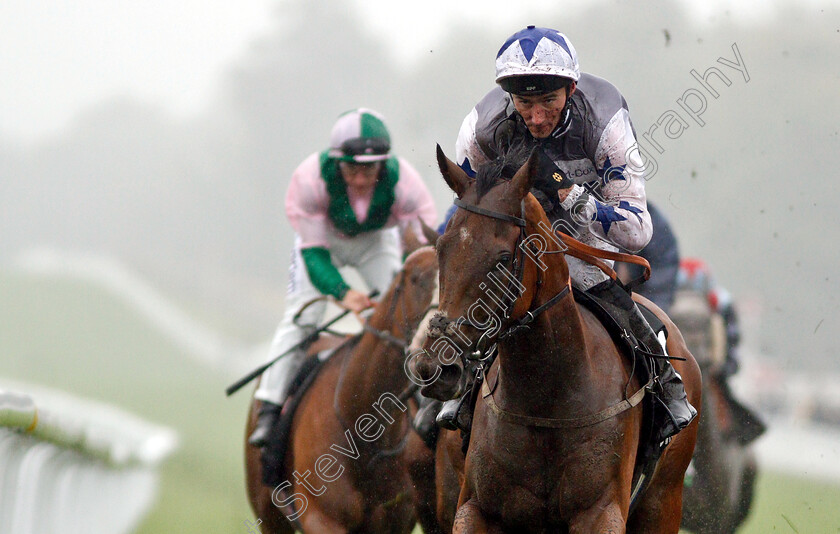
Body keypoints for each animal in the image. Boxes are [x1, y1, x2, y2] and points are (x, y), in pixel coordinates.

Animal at [410, 144, 700, 532]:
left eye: (503, 258)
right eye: (442, 248)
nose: (436, 366)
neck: (547, 400)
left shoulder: (601, 512)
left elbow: (634, 217)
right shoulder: (475, 509)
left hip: (663, 501)